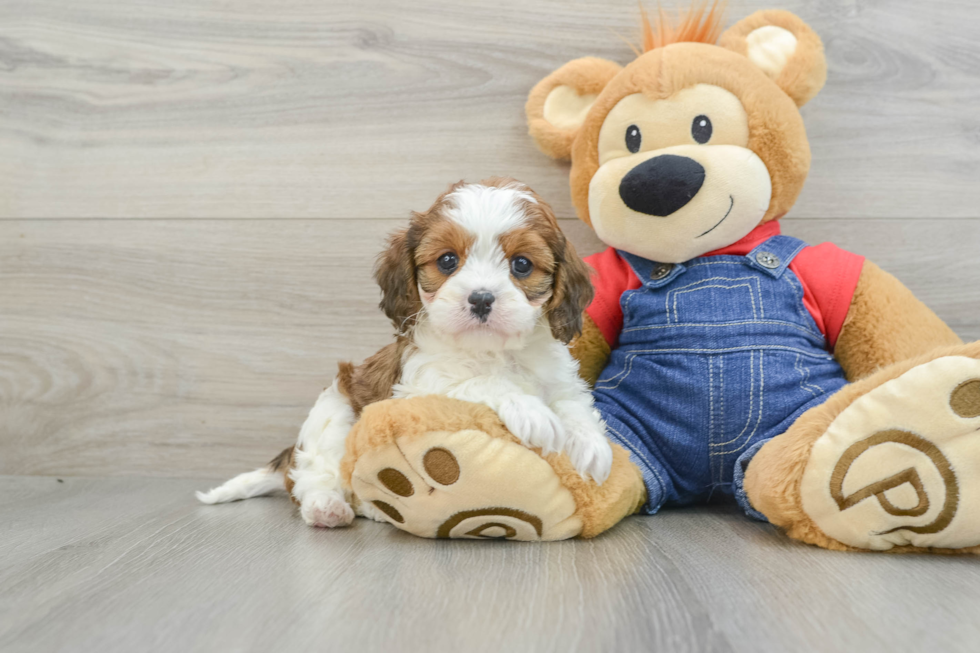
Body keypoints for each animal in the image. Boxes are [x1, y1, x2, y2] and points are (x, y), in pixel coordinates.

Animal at [197, 178, 612, 524]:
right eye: (447, 260)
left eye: (522, 265)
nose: (481, 298)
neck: (492, 351)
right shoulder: (419, 385)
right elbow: (481, 382)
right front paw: (531, 411)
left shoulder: (560, 380)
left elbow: (574, 404)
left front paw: (591, 445)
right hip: (333, 415)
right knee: (314, 476)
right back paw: (328, 507)